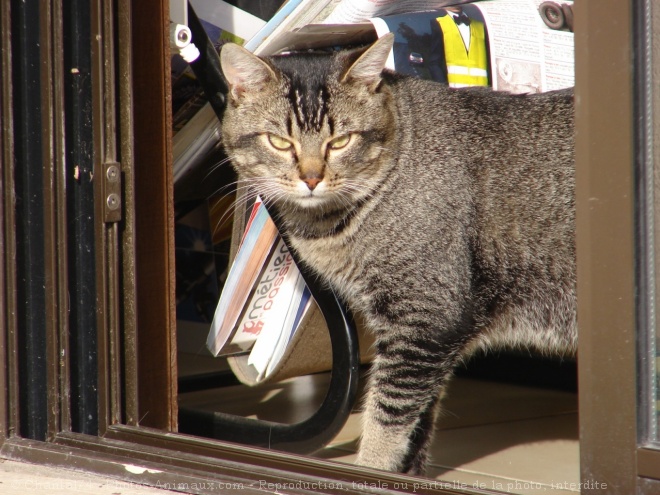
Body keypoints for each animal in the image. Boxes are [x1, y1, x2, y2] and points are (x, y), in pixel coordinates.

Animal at [219, 35, 576, 476]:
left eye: (340, 142)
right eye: (280, 142)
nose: (312, 177)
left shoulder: (425, 319)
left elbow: (385, 423)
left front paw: (367, 472)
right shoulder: (423, 333)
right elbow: (417, 427)